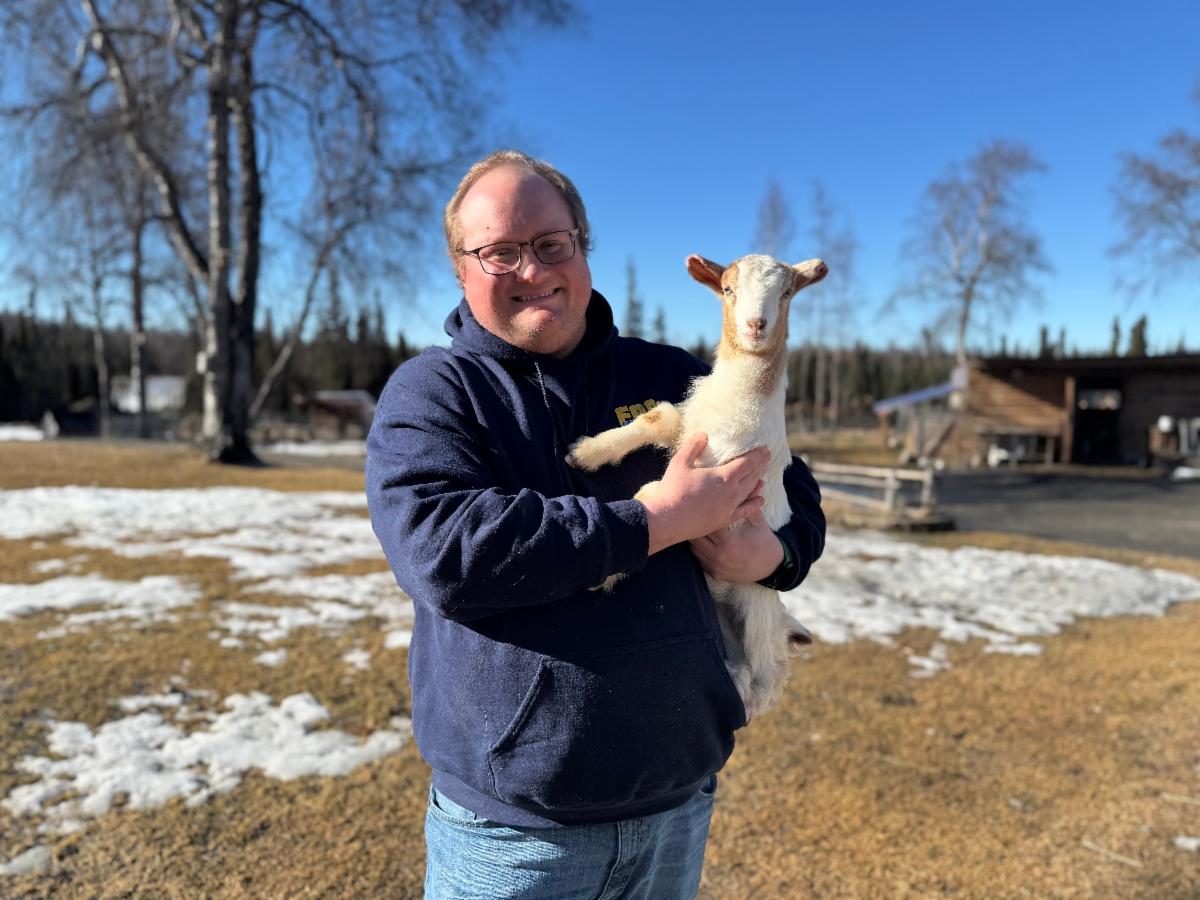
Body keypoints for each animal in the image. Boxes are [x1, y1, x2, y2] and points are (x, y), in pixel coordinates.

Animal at [566, 253, 827, 718]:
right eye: (728, 288)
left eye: (787, 292)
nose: (756, 325)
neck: (742, 401)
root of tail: (783, 625)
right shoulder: (689, 428)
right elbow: (658, 417)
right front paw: (587, 452)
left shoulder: (718, 474)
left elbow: (651, 494)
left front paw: (607, 571)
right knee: (742, 666)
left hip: (758, 614)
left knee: (765, 678)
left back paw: (746, 699)